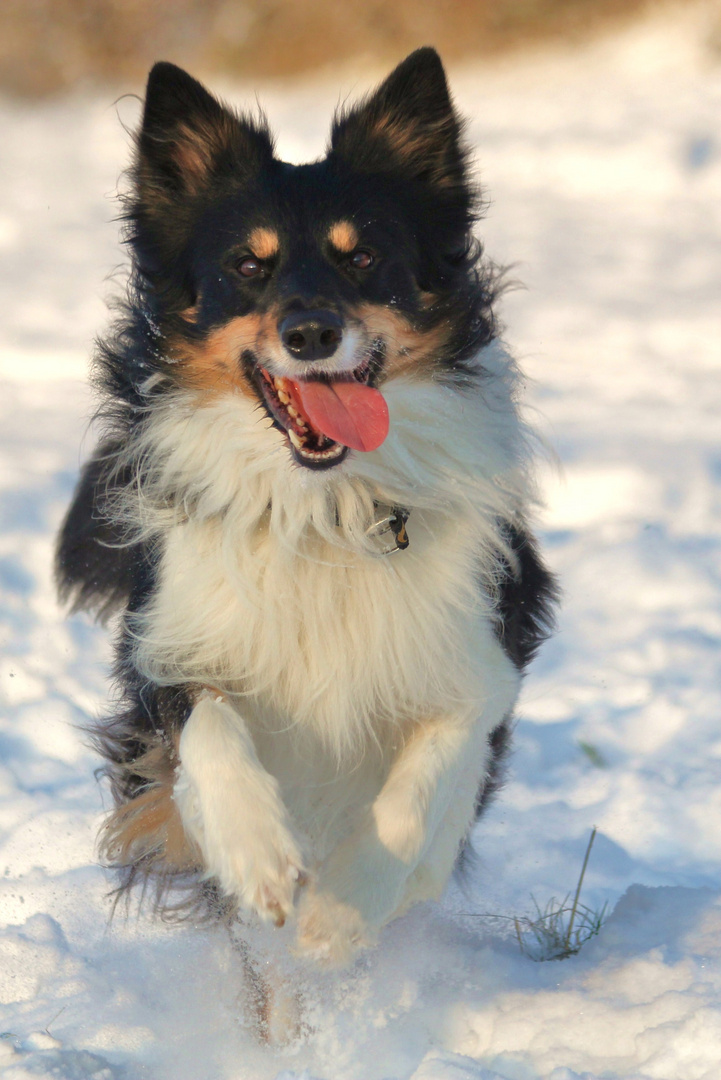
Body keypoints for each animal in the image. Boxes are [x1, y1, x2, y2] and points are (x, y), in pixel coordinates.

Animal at [55, 46, 556, 972]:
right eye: (247, 267)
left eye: (362, 259)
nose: (312, 334)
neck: (322, 503)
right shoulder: (169, 651)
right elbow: (209, 735)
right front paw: (259, 857)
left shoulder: (478, 658)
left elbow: (424, 786)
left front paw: (343, 910)